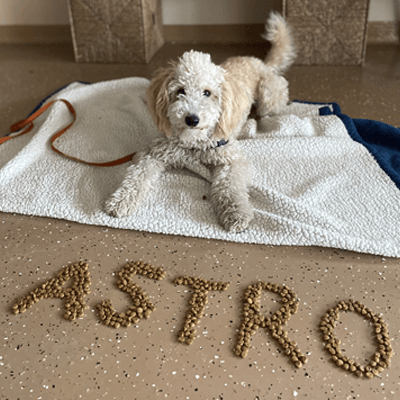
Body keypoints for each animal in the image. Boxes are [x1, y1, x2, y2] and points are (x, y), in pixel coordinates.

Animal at [104, 12, 296, 233]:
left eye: (207, 93)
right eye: (180, 91)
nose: (191, 119)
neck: (194, 143)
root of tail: (260, 62)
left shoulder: (230, 158)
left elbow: (229, 186)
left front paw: (236, 213)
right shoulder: (155, 151)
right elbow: (137, 175)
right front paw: (121, 200)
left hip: (268, 96)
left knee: (265, 114)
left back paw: (250, 126)